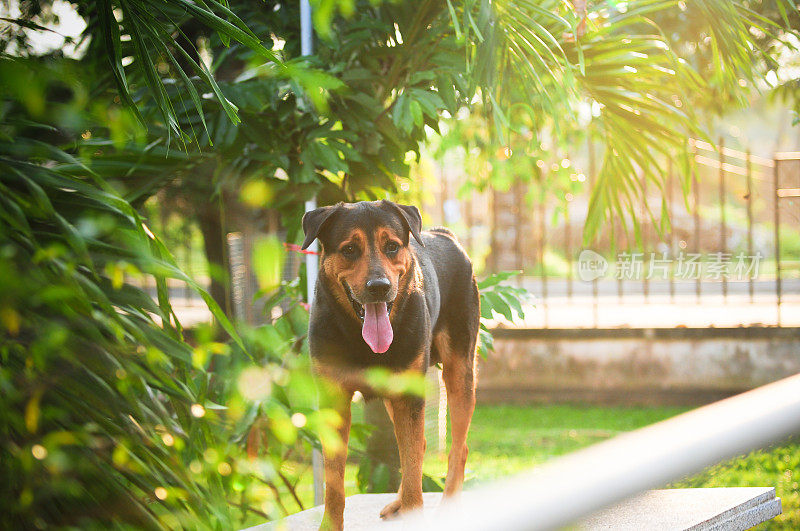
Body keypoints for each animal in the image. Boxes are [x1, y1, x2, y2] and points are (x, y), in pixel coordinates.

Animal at [298, 201, 476, 531]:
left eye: (392, 246)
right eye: (350, 249)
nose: (379, 287)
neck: (359, 336)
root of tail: (444, 235)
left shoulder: (409, 397)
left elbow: (413, 469)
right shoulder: (334, 400)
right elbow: (334, 483)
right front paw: (330, 524)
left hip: (459, 373)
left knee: (457, 449)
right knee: (418, 448)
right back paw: (398, 503)